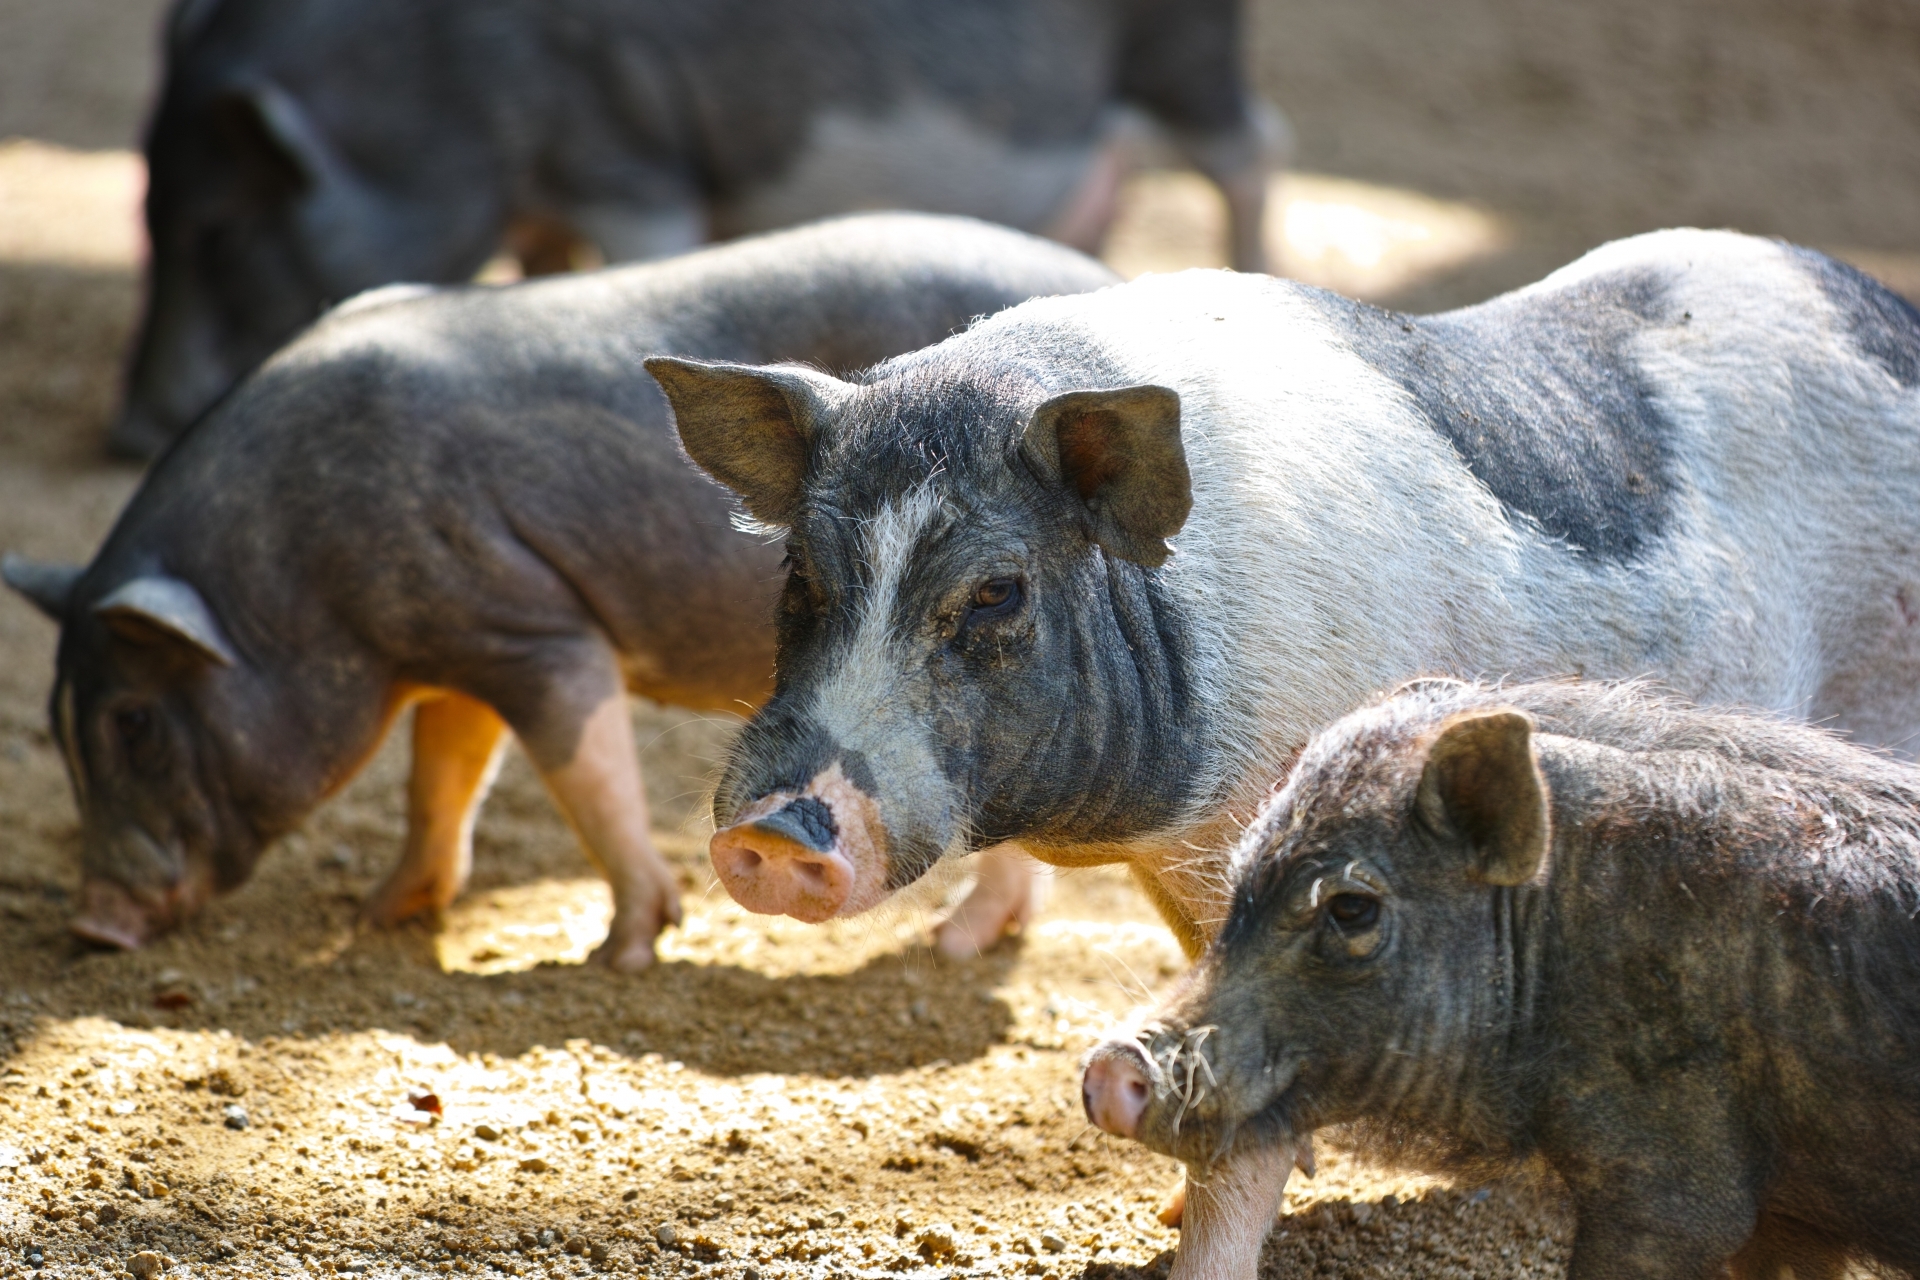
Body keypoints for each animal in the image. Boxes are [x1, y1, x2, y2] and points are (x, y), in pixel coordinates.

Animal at [0, 213, 1121, 971]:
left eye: (135, 720)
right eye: (57, 729)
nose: (94, 923)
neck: (296, 576)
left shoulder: (536, 626)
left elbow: (585, 775)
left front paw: (622, 952)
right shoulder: (459, 644)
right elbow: (439, 780)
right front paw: (377, 916)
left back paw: (950, 948)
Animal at [120, 0, 1290, 458]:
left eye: (223, 228)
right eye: (146, 209)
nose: (128, 432)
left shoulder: (625, 153)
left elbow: (648, 246)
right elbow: (541, 256)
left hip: (1183, 55)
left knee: (1250, 146)